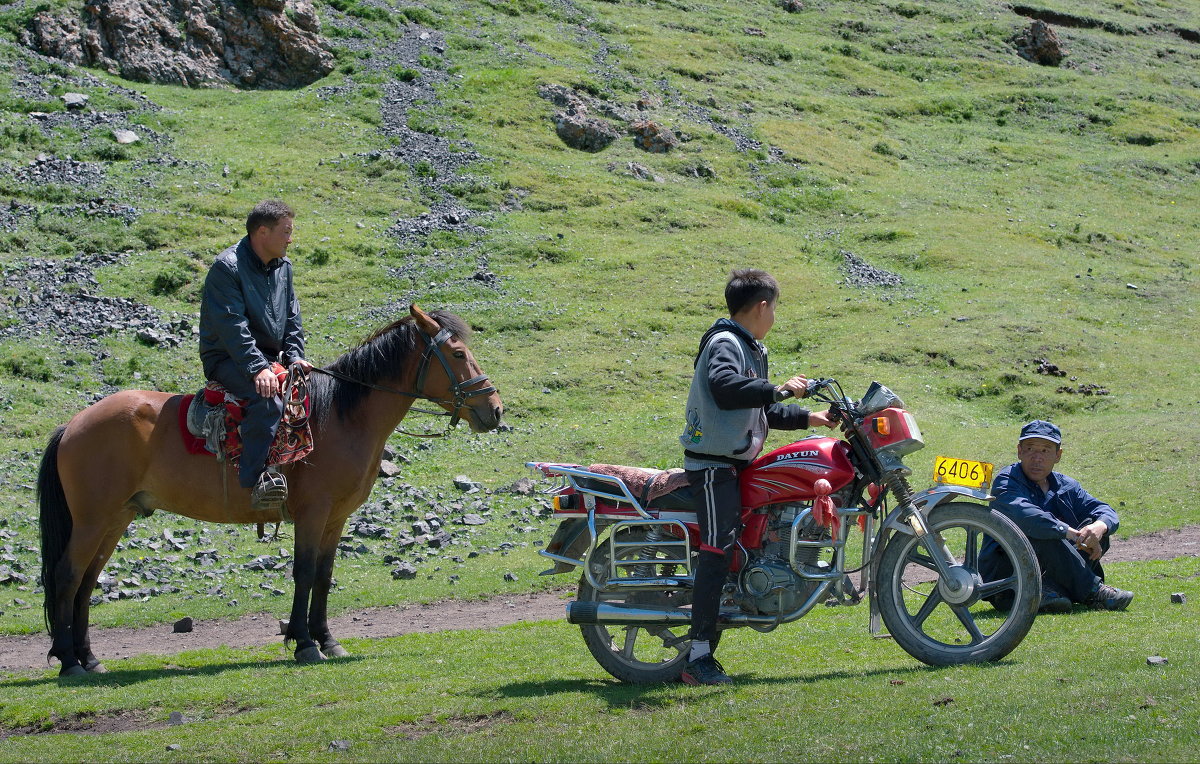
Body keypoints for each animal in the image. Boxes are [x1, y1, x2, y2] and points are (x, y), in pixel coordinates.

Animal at [38, 303, 501, 671]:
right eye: (458, 353)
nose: (495, 409)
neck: (341, 417)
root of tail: (73, 425)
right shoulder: (313, 513)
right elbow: (304, 572)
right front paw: (305, 642)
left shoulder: (336, 518)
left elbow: (324, 575)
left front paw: (327, 639)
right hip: (93, 520)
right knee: (67, 575)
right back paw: (69, 662)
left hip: (115, 519)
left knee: (87, 581)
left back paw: (89, 658)